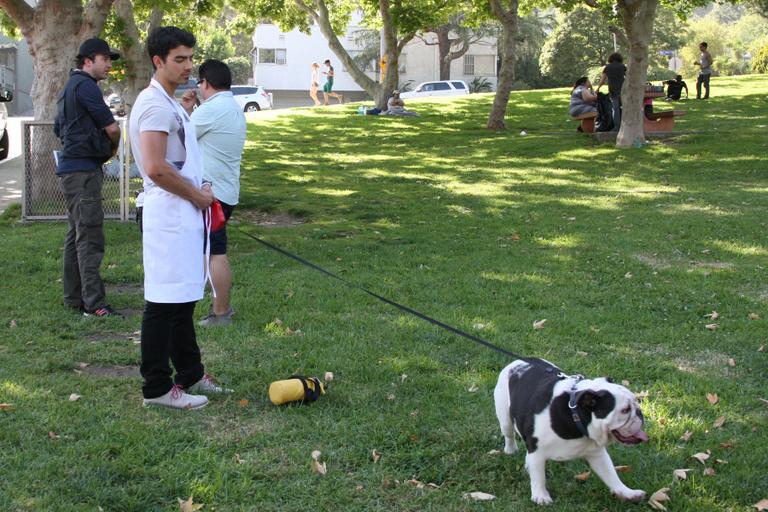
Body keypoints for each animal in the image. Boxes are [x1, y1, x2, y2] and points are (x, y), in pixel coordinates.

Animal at [496, 358, 652, 506]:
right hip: (505, 419)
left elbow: (611, 474)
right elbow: (539, 477)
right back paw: (511, 450)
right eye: (625, 410)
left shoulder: (597, 455)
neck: (574, 415)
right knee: (509, 435)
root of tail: (516, 362)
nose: (640, 412)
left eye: (636, 401)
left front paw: (627, 492)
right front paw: (540, 496)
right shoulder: (537, 452)